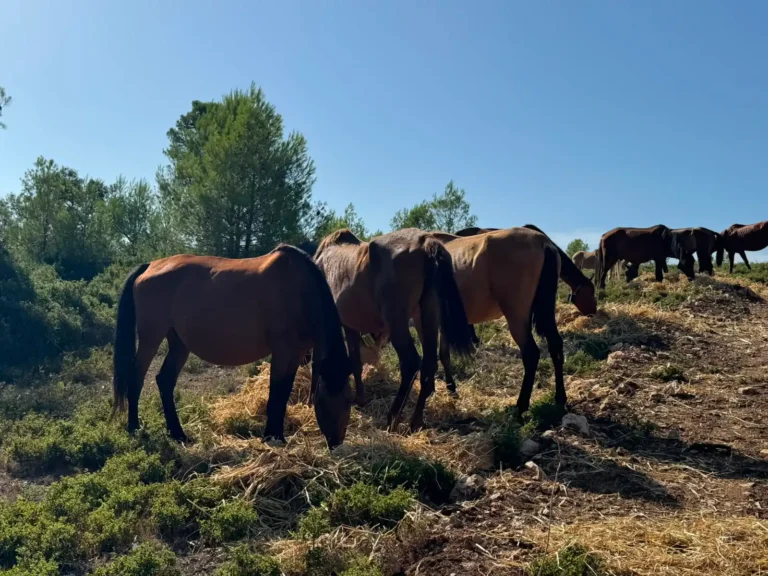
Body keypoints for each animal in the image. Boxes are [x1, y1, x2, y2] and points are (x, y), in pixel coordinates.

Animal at [111, 245, 354, 448]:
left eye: (349, 400)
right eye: (323, 401)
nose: (336, 442)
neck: (300, 290)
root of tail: (150, 266)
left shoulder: (296, 354)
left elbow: (284, 392)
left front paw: (275, 435)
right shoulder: (283, 352)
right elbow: (276, 393)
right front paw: (272, 436)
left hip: (178, 343)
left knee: (165, 381)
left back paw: (178, 434)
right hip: (151, 338)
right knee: (136, 378)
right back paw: (134, 427)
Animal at [312, 228, 474, 432]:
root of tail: (425, 242)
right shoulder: (352, 327)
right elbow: (355, 362)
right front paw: (359, 399)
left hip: (397, 320)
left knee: (411, 362)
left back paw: (393, 417)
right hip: (426, 316)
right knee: (429, 363)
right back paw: (416, 421)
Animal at [428, 227, 566, 414]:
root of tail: (542, 242)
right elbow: (443, 354)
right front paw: (451, 389)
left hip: (516, 315)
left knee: (531, 353)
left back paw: (520, 407)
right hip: (546, 311)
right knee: (555, 346)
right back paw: (560, 398)